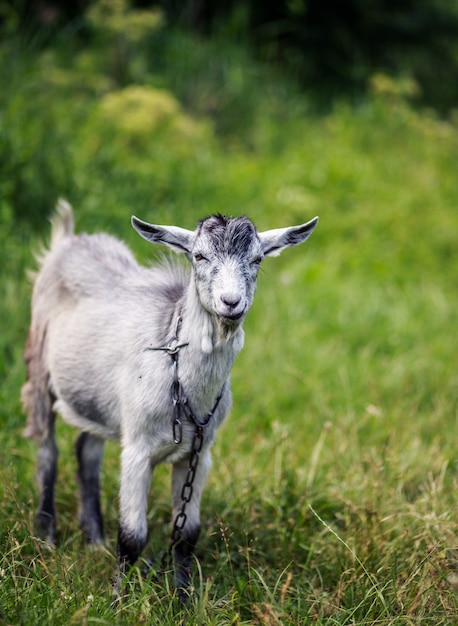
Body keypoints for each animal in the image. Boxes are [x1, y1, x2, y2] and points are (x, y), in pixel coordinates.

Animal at [21, 201, 318, 596]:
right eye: (199, 255)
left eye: (257, 259)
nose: (231, 302)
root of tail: (67, 240)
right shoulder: (137, 449)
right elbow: (133, 536)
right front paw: (118, 599)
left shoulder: (200, 454)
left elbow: (187, 535)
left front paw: (183, 596)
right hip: (38, 367)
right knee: (47, 451)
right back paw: (46, 536)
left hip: (96, 399)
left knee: (87, 450)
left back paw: (95, 539)